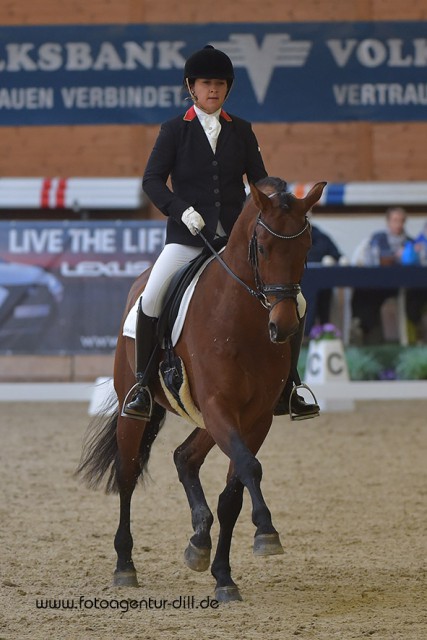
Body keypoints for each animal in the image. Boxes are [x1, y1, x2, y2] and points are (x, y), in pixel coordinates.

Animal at [77, 178, 326, 604]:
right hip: (139, 411)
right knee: (127, 475)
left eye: (306, 247)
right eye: (262, 246)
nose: (284, 328)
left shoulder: (255, 417)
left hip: (211, 419)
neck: (244, 318)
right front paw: (267, 531)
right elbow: (250, 469)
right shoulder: (218, 406)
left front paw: (224, 575)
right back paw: (125, 565)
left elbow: (234, 493)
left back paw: (198, 540)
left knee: (184, 457)